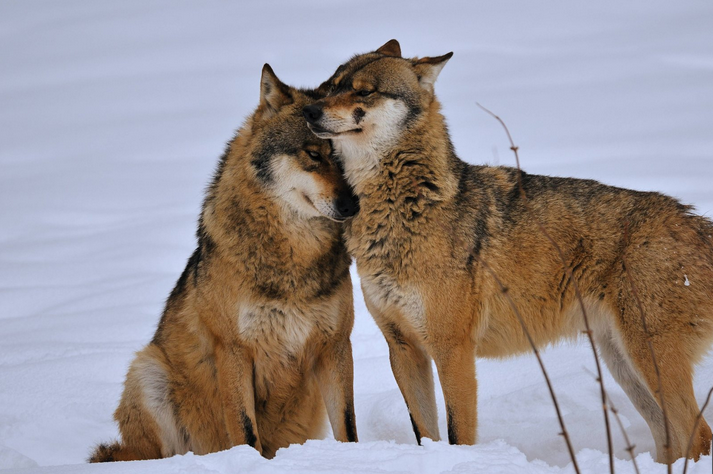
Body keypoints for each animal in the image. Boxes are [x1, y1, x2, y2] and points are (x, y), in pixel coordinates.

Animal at [90, 65, 356, 462]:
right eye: (313, 154)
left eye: (349, 156)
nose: (353, 205)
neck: (293, 262)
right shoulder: (233, 350)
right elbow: (244, 430)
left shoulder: (336, 346)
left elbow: (349, 429)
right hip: (148, 371)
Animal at [304, 40, 712, 462]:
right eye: (330, 85)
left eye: (365, 91)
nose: (309, 111)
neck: (404, 207)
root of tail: (695, 222)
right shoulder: (403, 348)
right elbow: (426, 434)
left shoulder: (453, 350)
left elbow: (458, 433)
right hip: (624, 365)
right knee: (673, 437)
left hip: (647, 358)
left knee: (699, 434)